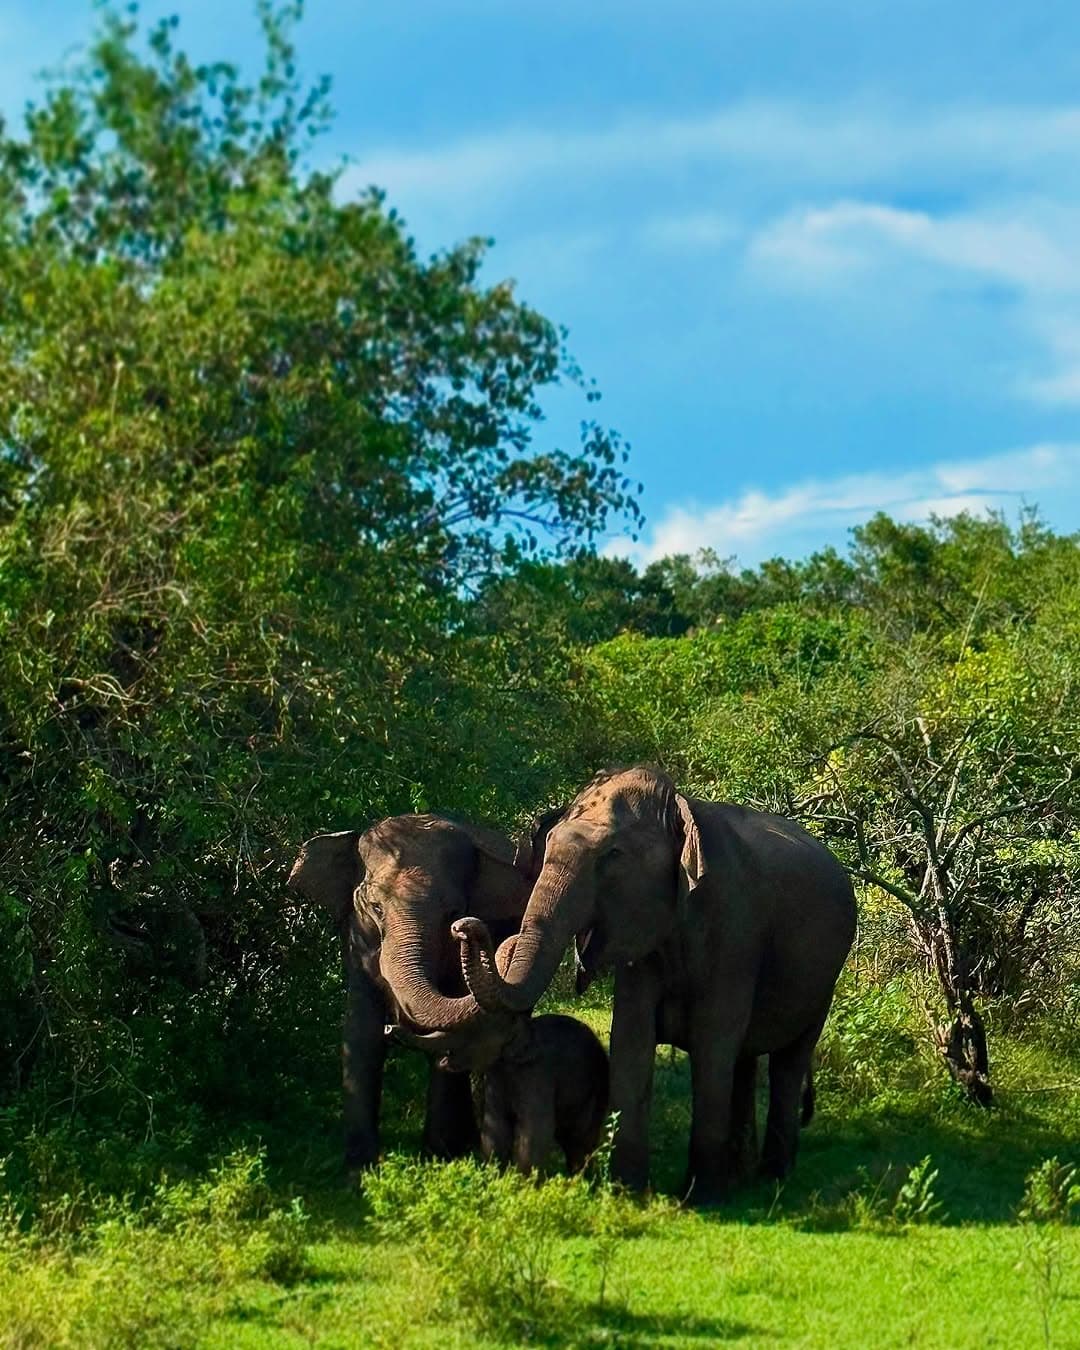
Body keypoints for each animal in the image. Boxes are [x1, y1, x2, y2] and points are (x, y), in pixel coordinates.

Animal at [286, 813, 530, 1172]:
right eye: (375, 907)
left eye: (454, 912)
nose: (465, 930)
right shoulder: (357, 940)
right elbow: (361, 1034)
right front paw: (360, 1169)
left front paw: (438, 1158)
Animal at [394, 1000, 610, 1176]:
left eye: (472, 1028)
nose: (390, 1028)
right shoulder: (496, 1078)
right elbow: (495, 1127)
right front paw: (496, 1179)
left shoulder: (538, 1076)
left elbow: (535, 1130)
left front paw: (525, 1187)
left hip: (596, 1088)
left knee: (580, 1137)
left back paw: (581, 1181)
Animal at [452, 766, 856, 1204]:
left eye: (613, 855)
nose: (463, 926)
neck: (682, 809)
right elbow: (631, 1038)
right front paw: (627, 1193)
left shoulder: (735, 932)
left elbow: (713, 1043)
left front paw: (700, 1198)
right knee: (746, 1059)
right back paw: (742, 1177)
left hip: (825, 978)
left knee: (787, 1061)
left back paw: (771, 1179)